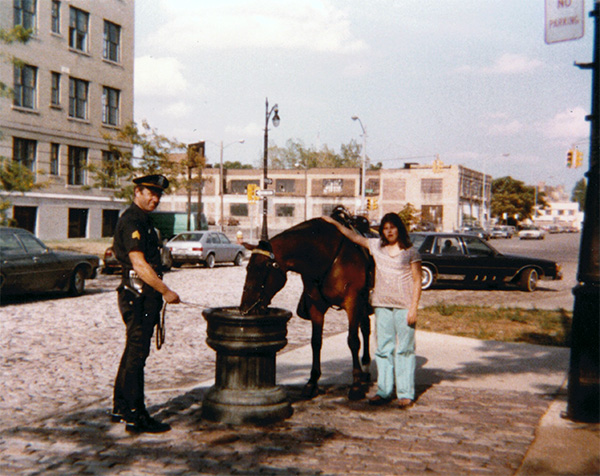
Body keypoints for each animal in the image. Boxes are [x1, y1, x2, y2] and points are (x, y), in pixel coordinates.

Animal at [238, 219, 370, 402]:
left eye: (264, 268)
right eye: (247, 267)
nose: (245, 307)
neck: (327, 256)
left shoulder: (353, 303)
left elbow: (353, 341)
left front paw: (356, 385)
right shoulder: (316, 307)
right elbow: (316, 342)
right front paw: (312, 382)